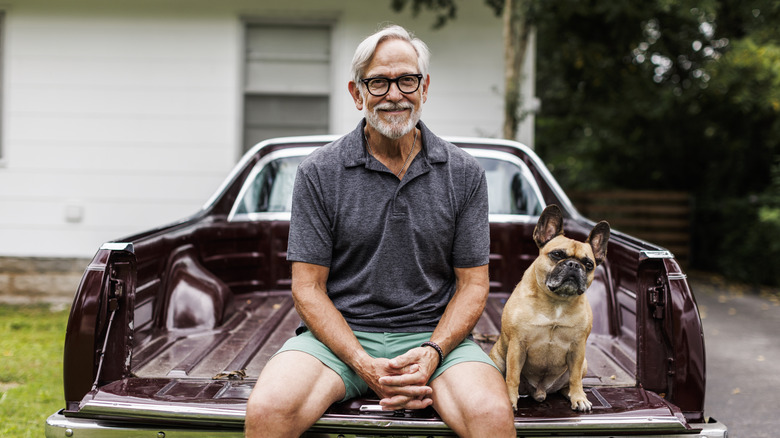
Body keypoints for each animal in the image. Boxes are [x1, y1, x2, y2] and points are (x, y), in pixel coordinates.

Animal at [488, 204, 608, 410]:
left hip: (583, 363)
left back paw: (573, 395)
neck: (557, 301)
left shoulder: (578, 349)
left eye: (588, 264)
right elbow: (512, 376)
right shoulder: (517, 346)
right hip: (497, 358)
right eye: (557, 254)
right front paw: (510, 400)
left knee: (569, 383)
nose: (574, 265)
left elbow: (575, 378)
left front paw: (579, 397)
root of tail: (539, 392)